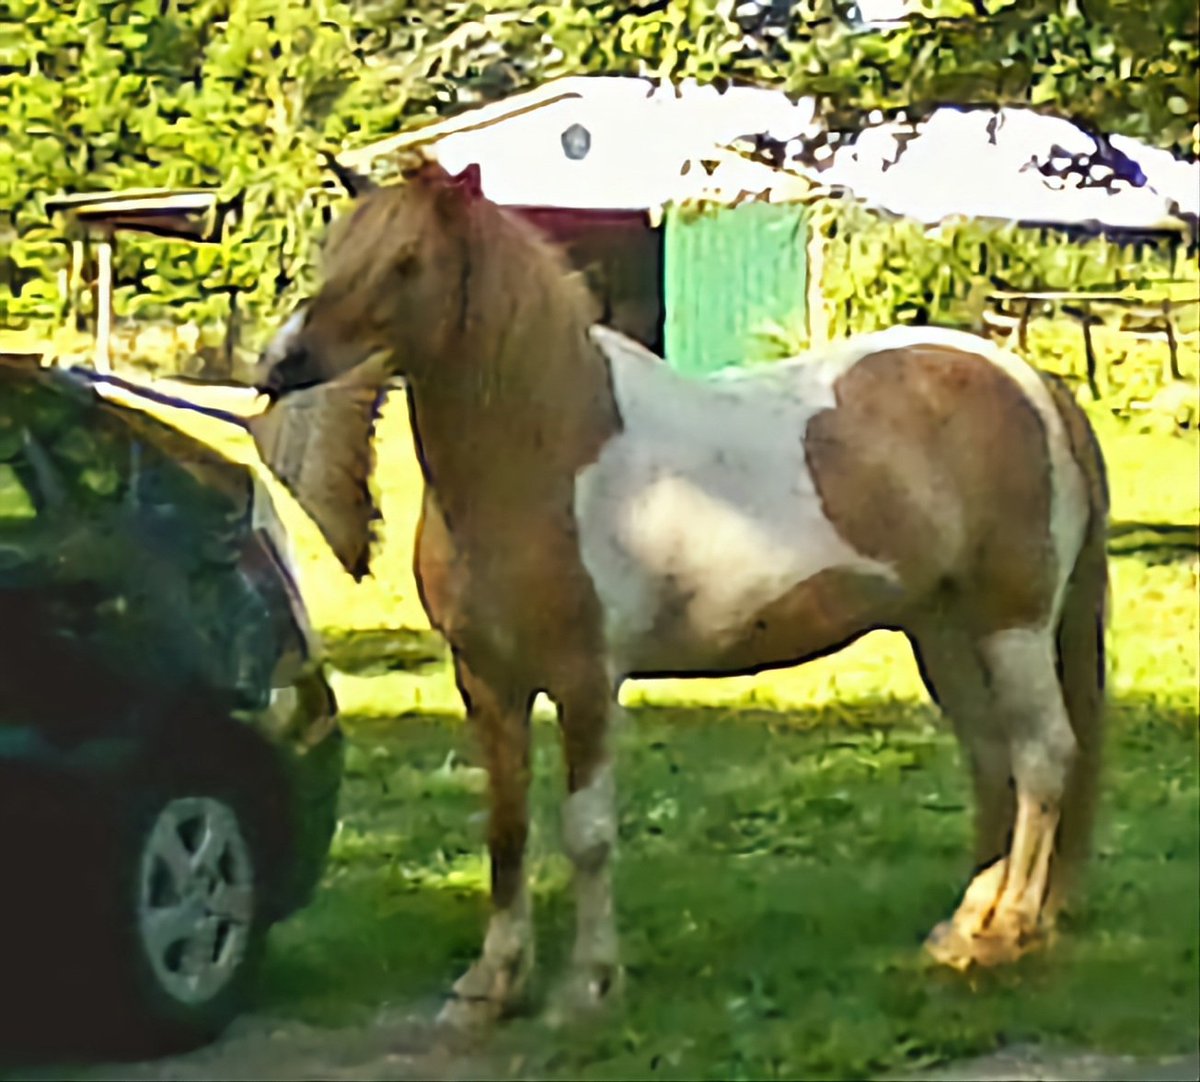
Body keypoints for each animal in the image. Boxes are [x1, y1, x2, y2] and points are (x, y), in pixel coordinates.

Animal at [253, 159, 1109, 1027]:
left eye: (406, 262)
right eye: (333, 250)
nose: (278, 364)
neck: (548, 452)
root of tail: (1031, 381)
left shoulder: (585, 680)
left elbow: (587, 832)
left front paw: (587, 987)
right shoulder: (486, 681)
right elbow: (505, 827)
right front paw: (489, 985)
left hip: (1012, 625)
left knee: (1043, 755)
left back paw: (1009, 932)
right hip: (942, 631)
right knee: (994, 760)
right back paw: (966, 930)